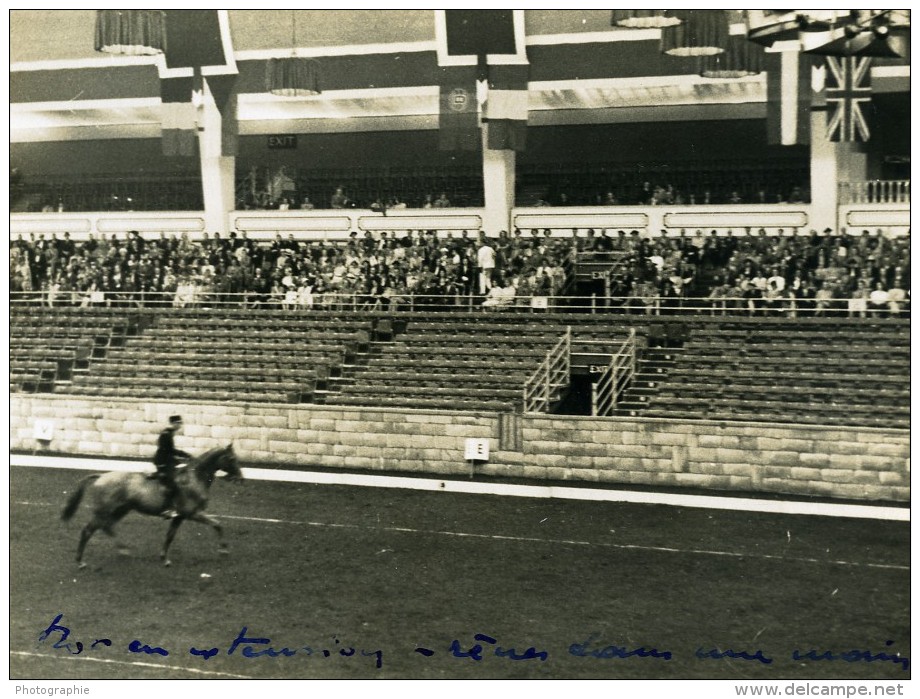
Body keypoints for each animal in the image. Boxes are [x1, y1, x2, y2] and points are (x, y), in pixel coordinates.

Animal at [63, 442, 246, 568]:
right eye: (231, 458)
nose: (241, 478)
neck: (194, 479)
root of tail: (101, 476)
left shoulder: (179, 517)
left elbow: (170, 536)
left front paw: (164, 558)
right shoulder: (192, 513)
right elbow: (217, 524)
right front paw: (224, 550)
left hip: (121, 510)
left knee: (107, 526)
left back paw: (123, 550)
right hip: (104, 511)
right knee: (88, 530)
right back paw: (80, 562)